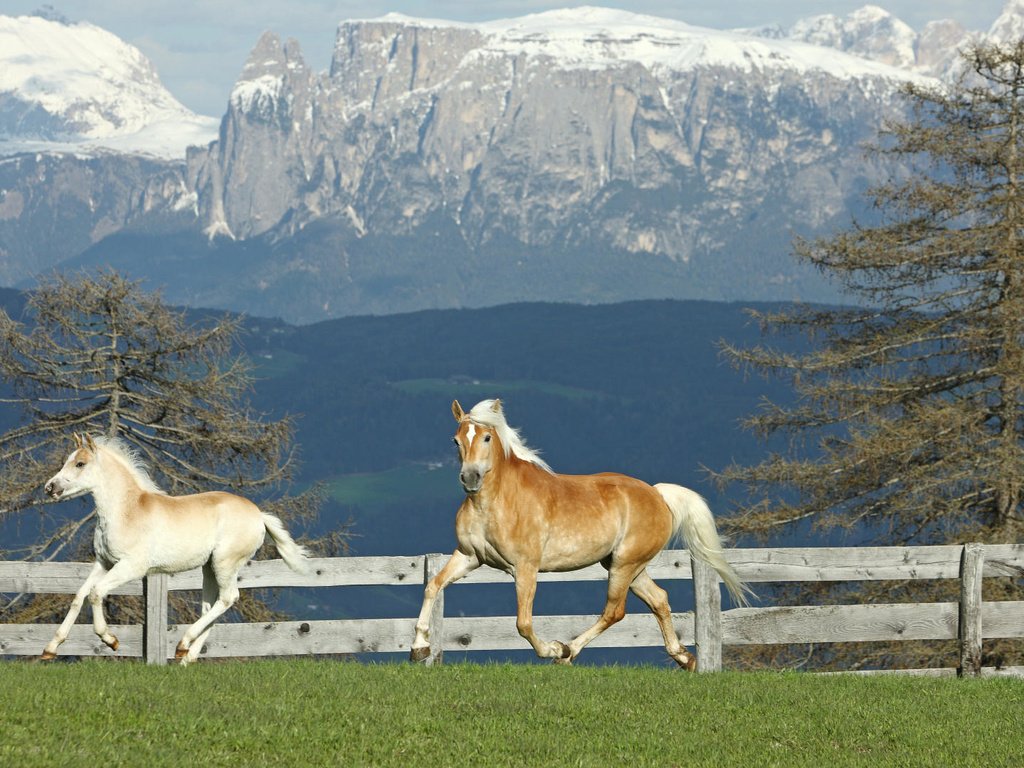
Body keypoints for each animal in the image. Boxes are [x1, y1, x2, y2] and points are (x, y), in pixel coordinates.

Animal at [43, 436, 307, 663]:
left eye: (80, 463)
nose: (50, 487)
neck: (126, 512)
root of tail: (259, 515)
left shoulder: (132, 567)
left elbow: (96, 593)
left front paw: (111, 640)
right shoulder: (104, 563)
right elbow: (79, 596)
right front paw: (50, 649)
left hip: (225, 562)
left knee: (228, 598)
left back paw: (183, 644)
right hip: (209, 567)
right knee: (211, 606)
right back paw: (186, 657)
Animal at [409, 399, 753, 671]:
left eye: (486, 437)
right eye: (456, 440)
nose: (470, 478)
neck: (495, 502)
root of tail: (657, 494)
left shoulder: (525, 567)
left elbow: (523, 622)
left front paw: (551, 648)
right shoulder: (469, 557)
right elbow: (433, 586)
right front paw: (418, 648)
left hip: (625, 564)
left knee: (615, 611)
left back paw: (567, 652)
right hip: (625, 565)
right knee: (659, 599)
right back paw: (684, 658)